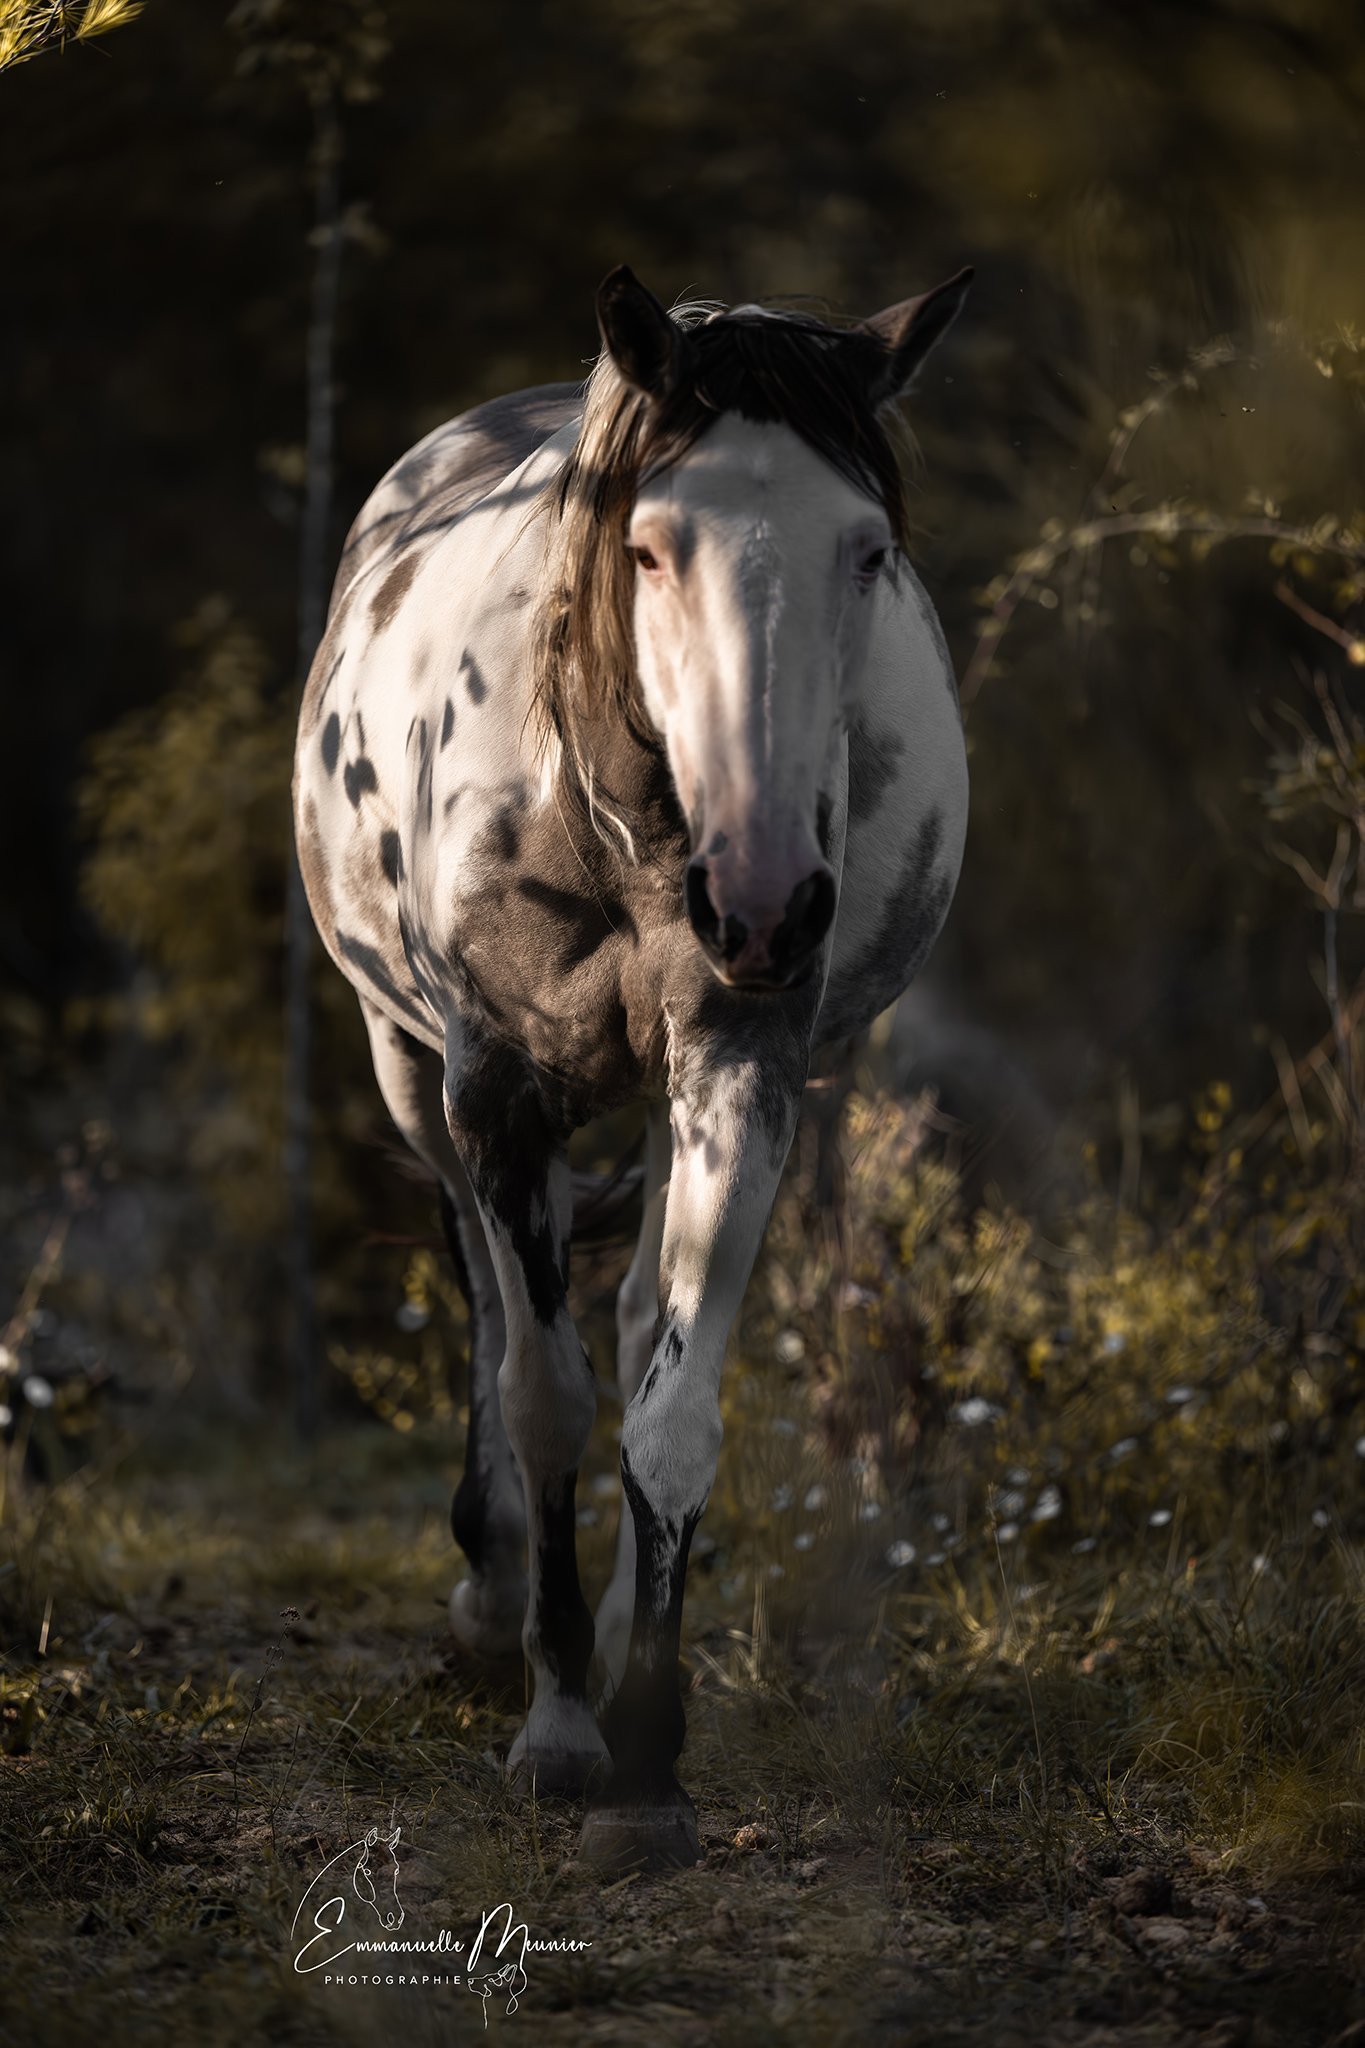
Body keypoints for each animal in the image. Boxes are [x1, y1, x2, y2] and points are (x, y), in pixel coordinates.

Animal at [290, 260, 970, 1875]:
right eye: (650, 546)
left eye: (866, 550)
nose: (769, 902)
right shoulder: (491, 1088)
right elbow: (543, 1393)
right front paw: (555, 1727)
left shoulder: (742, 1070)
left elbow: (670, 1408)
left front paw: (648, 1756)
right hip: (410, 1069)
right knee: (491, 1304)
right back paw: (493, 1603)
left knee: (637, 1307)